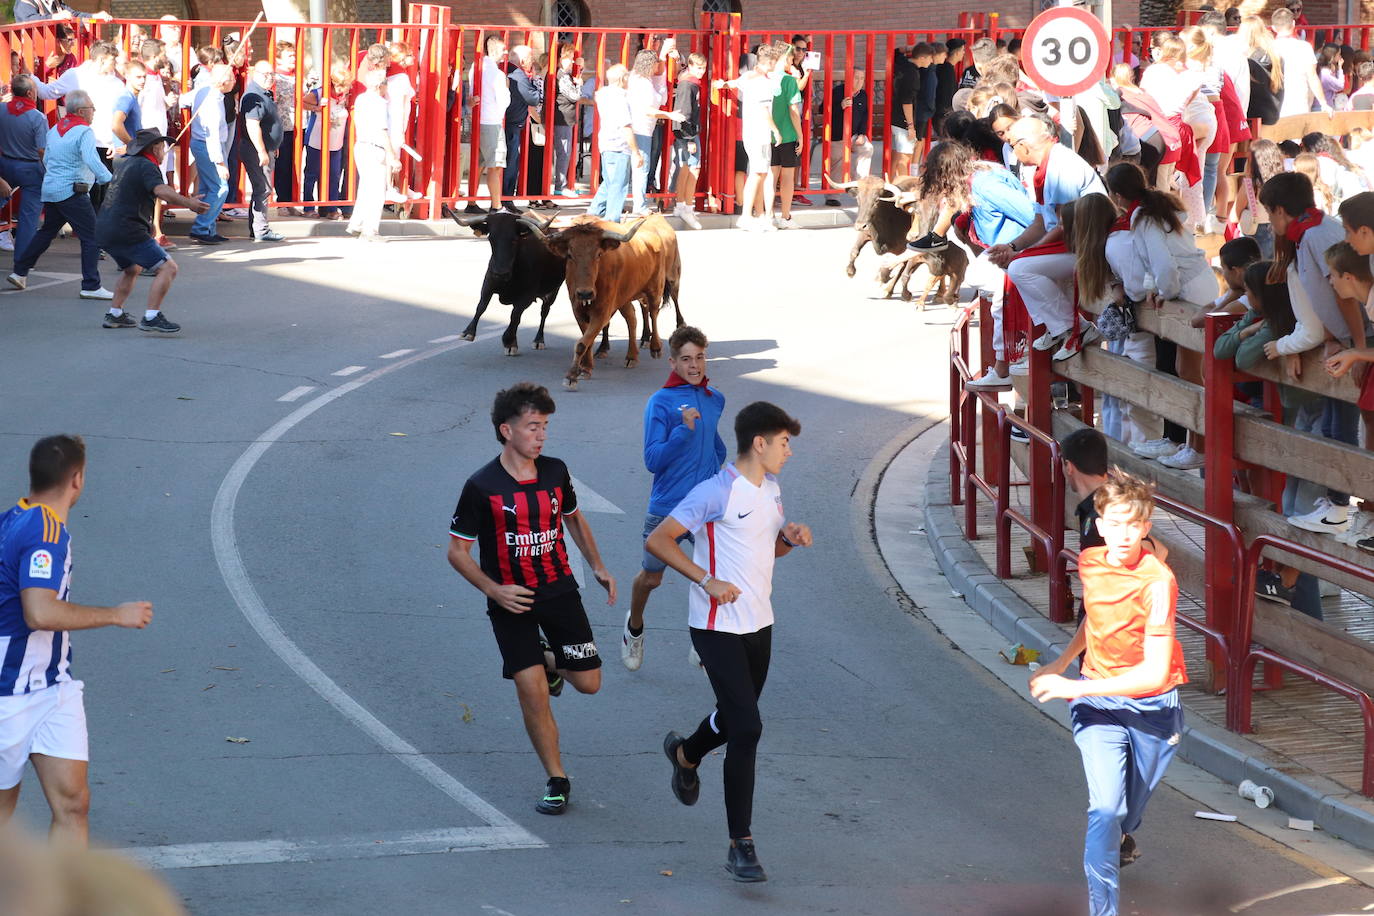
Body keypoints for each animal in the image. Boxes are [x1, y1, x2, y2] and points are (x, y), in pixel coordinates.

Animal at [541, 215, 681, 390]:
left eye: (598, 254)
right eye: (569, 255)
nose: (585, 293)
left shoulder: (602, 312)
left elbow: (581, 344)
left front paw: (571, 376)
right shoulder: (577, 310)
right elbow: (586, 340)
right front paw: (586, 368)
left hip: (657, 286)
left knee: (653, 312)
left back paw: (655, 347)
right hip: (624, 297)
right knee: (632, 318)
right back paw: (631, 356)